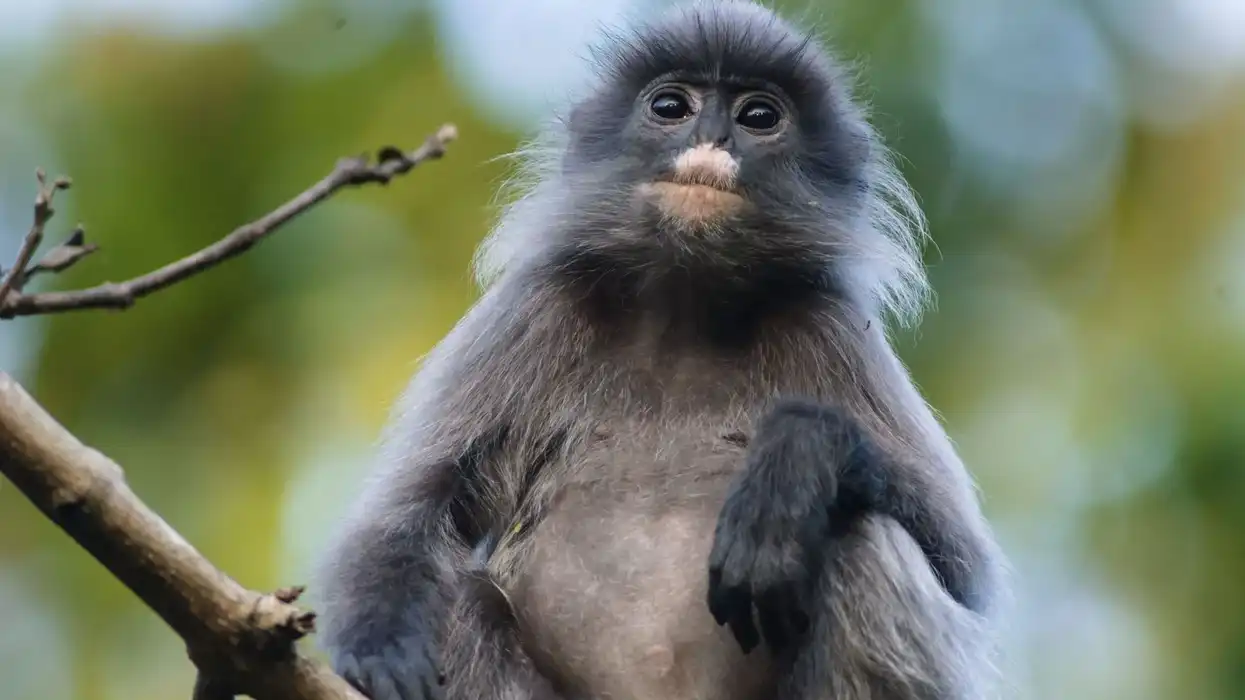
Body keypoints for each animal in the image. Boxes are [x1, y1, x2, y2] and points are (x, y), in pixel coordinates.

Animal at [314, 2, 1009, 699]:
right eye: (671, 106)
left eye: (760, 116)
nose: (713, 138)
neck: (684, 312)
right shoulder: (535, 308)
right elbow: (407, 512)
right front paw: (378, 648)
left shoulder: (829, 327)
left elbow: (966, 573)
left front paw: (794, 461)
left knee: (862, 532)